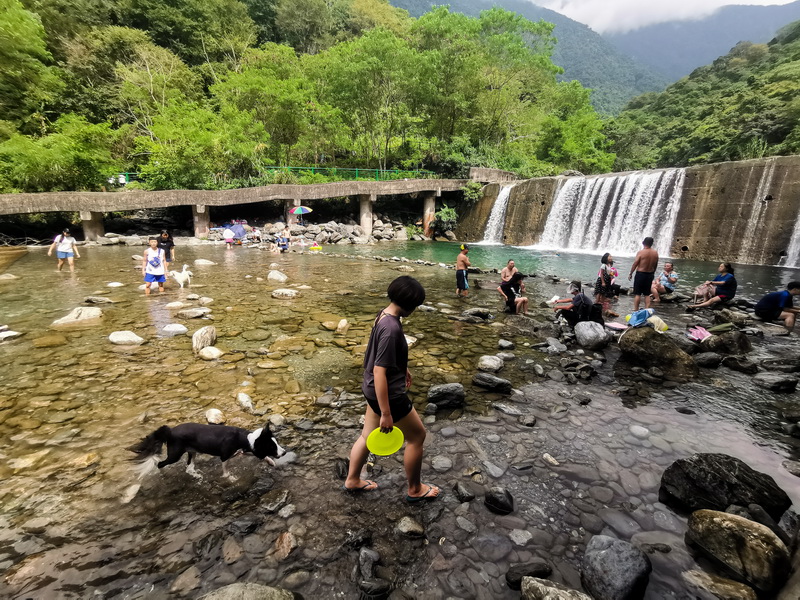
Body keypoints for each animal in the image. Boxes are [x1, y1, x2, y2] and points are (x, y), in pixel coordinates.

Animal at [126, 424, 286, 480]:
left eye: (277, 443)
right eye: (272, 447)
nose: (284, 452)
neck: (243, 438)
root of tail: (170, 431)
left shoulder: (242, 450)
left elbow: (257, 455)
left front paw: (270, 461)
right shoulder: (224, 456)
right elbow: (226, 470)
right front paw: (230, 478)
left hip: (192, 452)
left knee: (189, 467)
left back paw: (196, 475)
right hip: (175, 455)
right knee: (160, 464)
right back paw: (163, 473)